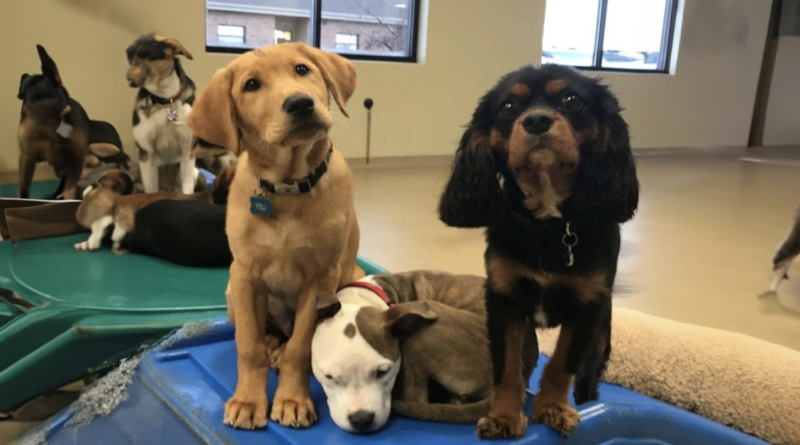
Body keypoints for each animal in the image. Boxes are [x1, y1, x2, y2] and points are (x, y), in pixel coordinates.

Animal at [188, 42, 356, 430]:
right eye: (251, 85)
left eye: (302, 69)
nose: (300, 103)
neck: (287, 187)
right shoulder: (246, 274)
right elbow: (247, 345)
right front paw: (248, 401)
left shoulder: (320, 279)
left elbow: (300, 347)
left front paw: (292, 400)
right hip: (232, 291)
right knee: (263, 333)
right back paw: (270, 347)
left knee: (289, 338)